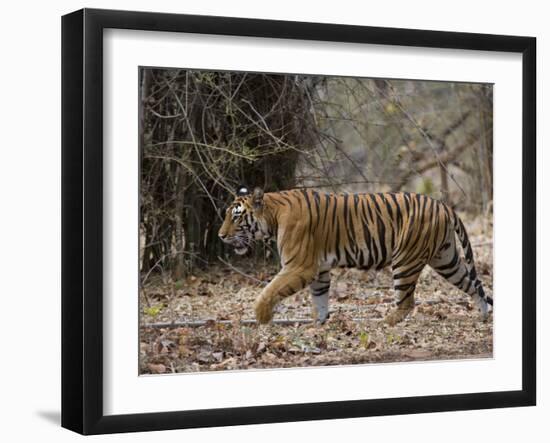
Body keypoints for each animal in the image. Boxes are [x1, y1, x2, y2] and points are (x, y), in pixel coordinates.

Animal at [218, 186, 494, 324]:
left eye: (236, 217)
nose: (220, 236)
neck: (273, 216)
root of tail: (443, 204)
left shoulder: (300, 266)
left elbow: (270, 290)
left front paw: (261, 318)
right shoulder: (319, 269)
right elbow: (320, 299)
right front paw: (318, 325)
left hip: (405, 259)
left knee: (406, 302)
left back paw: (385, 322)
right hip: (445, 259)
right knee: (473, 284)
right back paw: (483, 316)